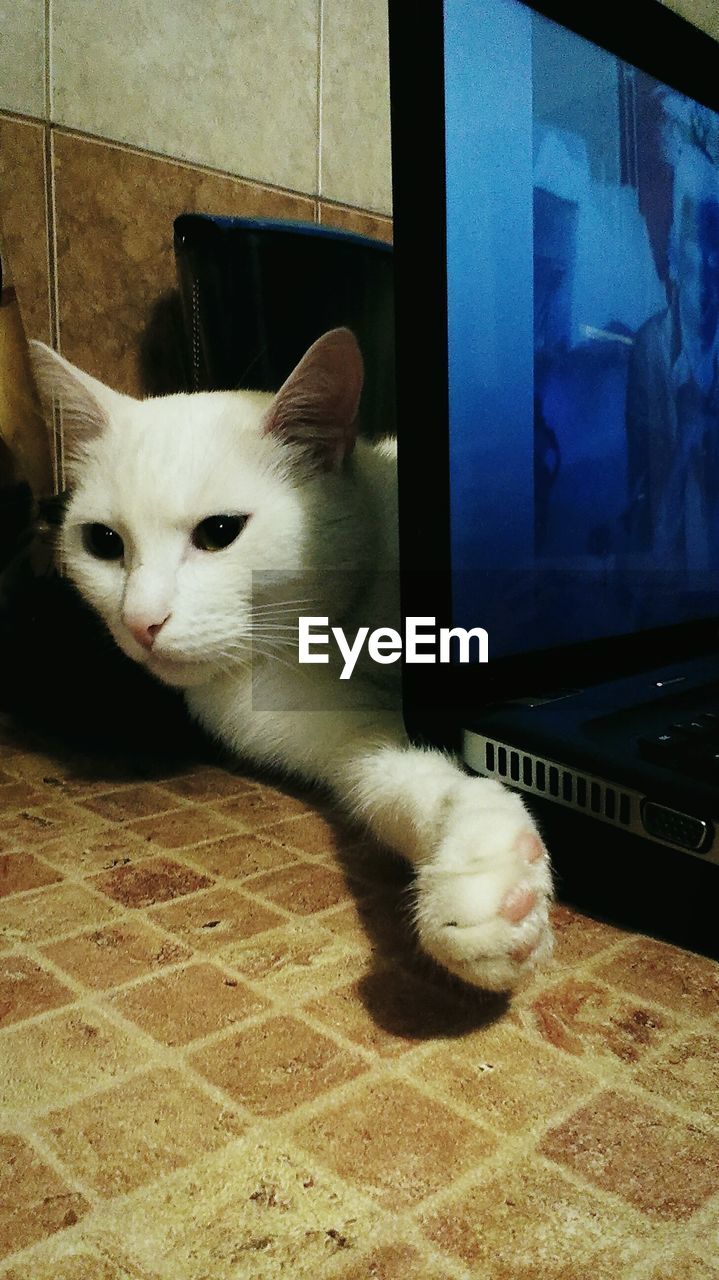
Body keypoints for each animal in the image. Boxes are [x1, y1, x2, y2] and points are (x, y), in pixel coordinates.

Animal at [30, 330, 550, 988]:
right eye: (102, 542)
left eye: (219, 532)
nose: (140, 622)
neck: (341, 630)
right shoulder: (339, 735)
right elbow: (412, 782)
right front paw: (486, 873)